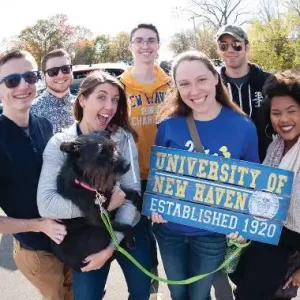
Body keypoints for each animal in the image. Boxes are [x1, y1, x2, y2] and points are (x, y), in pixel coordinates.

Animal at [50, 132, 141, 270]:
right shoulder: (98, 220)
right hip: (100, 235)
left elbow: (130, 192)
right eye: (101, 153)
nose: (127, 165)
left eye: (113, 147)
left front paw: (141, 203)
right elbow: (126, 226)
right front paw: (131, 240)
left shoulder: (111, 190)